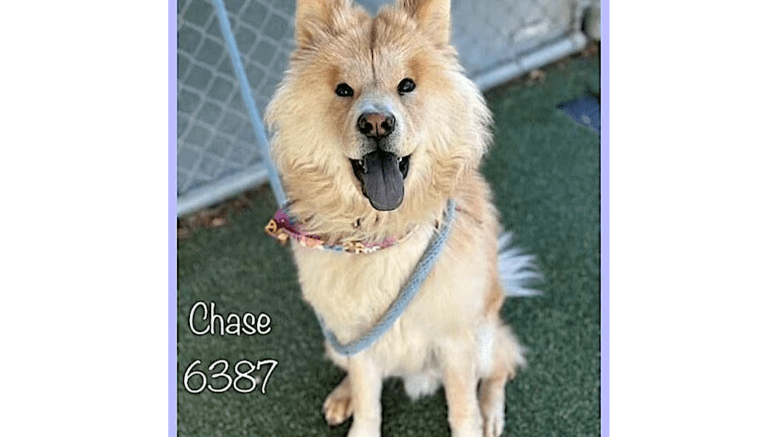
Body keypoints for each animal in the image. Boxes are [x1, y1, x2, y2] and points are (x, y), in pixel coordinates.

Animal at [264, 1, 536, 434]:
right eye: (343, 90)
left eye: (406, 86)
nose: (376, 123)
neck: (381, 234)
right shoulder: (356, 337)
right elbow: (368, 400)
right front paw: (358, 415)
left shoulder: (456, 340)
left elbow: (462, 408)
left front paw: (475, 421)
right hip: (335, 339)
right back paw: (341, 398)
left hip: (484, 338)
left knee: (502, 367)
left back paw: (492, 415)